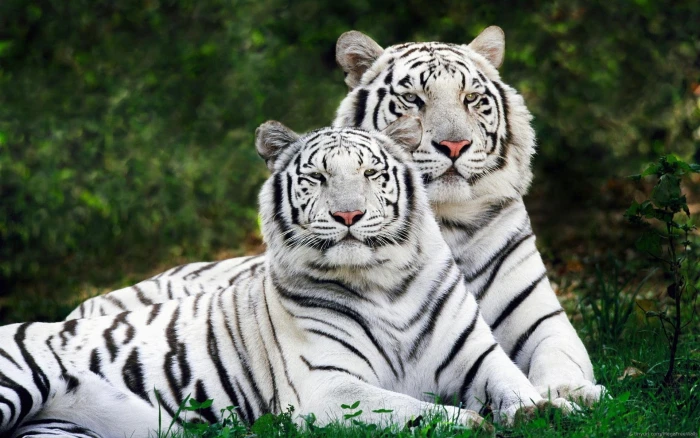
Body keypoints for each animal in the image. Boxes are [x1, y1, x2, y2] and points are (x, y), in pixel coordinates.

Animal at [0, 119, 573, 437]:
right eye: (317, 177)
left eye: (370, 173)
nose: (348, 215)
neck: (384, 283)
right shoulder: (327, 386)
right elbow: (413, 408)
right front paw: (471, 423)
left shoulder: (478, 357)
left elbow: (517, 386)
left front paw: (552, 409)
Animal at [66, 26, 605, 406]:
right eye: (413, 99)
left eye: (472, 99)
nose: (453, 145)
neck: (446, 222)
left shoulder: (542, 319)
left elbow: (560, 357)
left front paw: (573, 394)